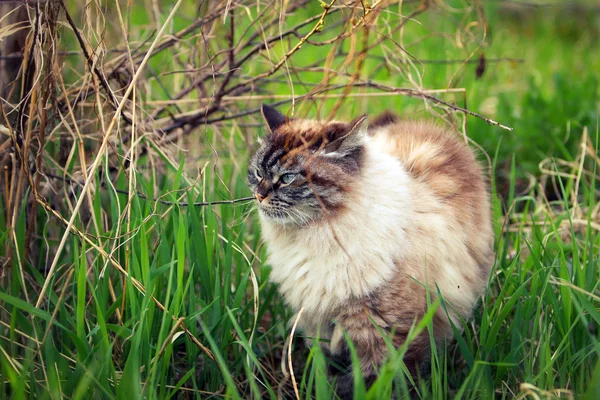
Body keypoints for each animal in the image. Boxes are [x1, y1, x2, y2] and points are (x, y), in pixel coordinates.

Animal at [246, 104, 494, 398]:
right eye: (257, 173)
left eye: (287, 178)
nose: (259, 196)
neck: (316, 233)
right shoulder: (319, 322)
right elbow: (328, 372)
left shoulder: (380, 331)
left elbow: (376, 384)